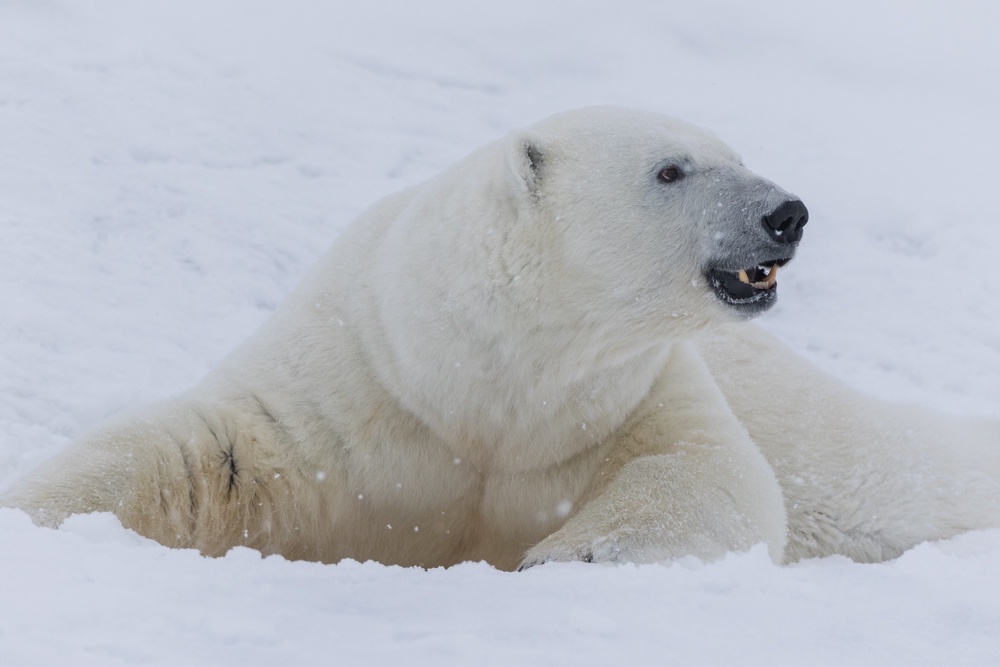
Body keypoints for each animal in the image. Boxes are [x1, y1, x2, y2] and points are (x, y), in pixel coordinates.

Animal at [1, 105, 1000, 568]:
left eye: (739, 151)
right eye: (672, 169)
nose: (785, 212)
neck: (483, 382)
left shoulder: (629, 395)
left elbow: (708, 475)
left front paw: (565, 553)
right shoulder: (348, 387)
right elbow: (208, 458)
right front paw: (38, 517)